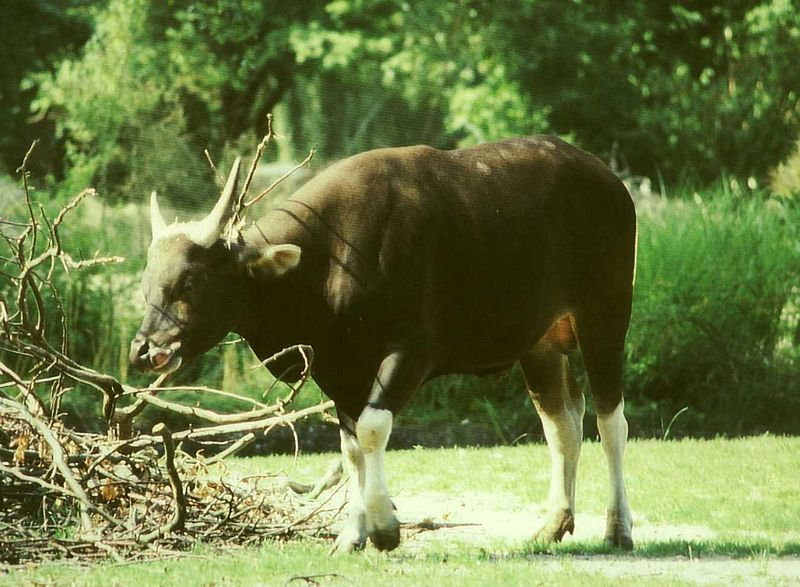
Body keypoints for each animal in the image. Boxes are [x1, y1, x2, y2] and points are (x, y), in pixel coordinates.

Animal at [128, 137, 636, 552]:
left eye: (190, 280)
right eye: (148, 280)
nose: (143, 349)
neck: (330, 258)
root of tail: (610, 181)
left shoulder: (411, 354)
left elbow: (373, 428)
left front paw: (384, 528)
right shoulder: (338, 368)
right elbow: (351, 446)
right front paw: (353, 533)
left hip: (606, 318)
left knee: (610, 421)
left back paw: (618, 527)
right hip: (540, 343)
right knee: (562, 423)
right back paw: (554, 523)